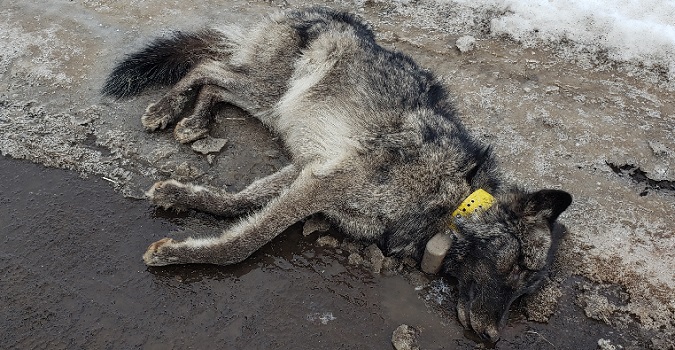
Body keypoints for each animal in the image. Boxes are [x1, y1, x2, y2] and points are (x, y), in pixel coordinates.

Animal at [104, 7, 572, 342]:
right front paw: (178, 254)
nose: (493, 337)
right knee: (206, 67)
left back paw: (194, 121)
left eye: (526, 290)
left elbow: (240, 201)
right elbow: (246, 240)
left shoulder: (310, 170)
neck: (449, 198)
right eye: (518, 267)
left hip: (271, 105)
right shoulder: (323, 182)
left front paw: (180, 195)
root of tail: (325, 11)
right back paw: (166, 109)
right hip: (271, 92)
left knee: (216, 82)